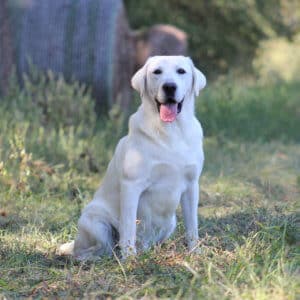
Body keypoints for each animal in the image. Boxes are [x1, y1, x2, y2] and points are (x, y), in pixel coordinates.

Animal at [59, 56, 207, 260]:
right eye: (157, 72)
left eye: (181, 71)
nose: (169, 87)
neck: (171, 131)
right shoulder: (131, 186)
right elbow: (128, 227)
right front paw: (129, 259)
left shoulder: (192, 185)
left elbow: (193, 226)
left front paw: (195, 252)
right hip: (94, 220)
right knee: (96, 249)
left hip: (170, 222)